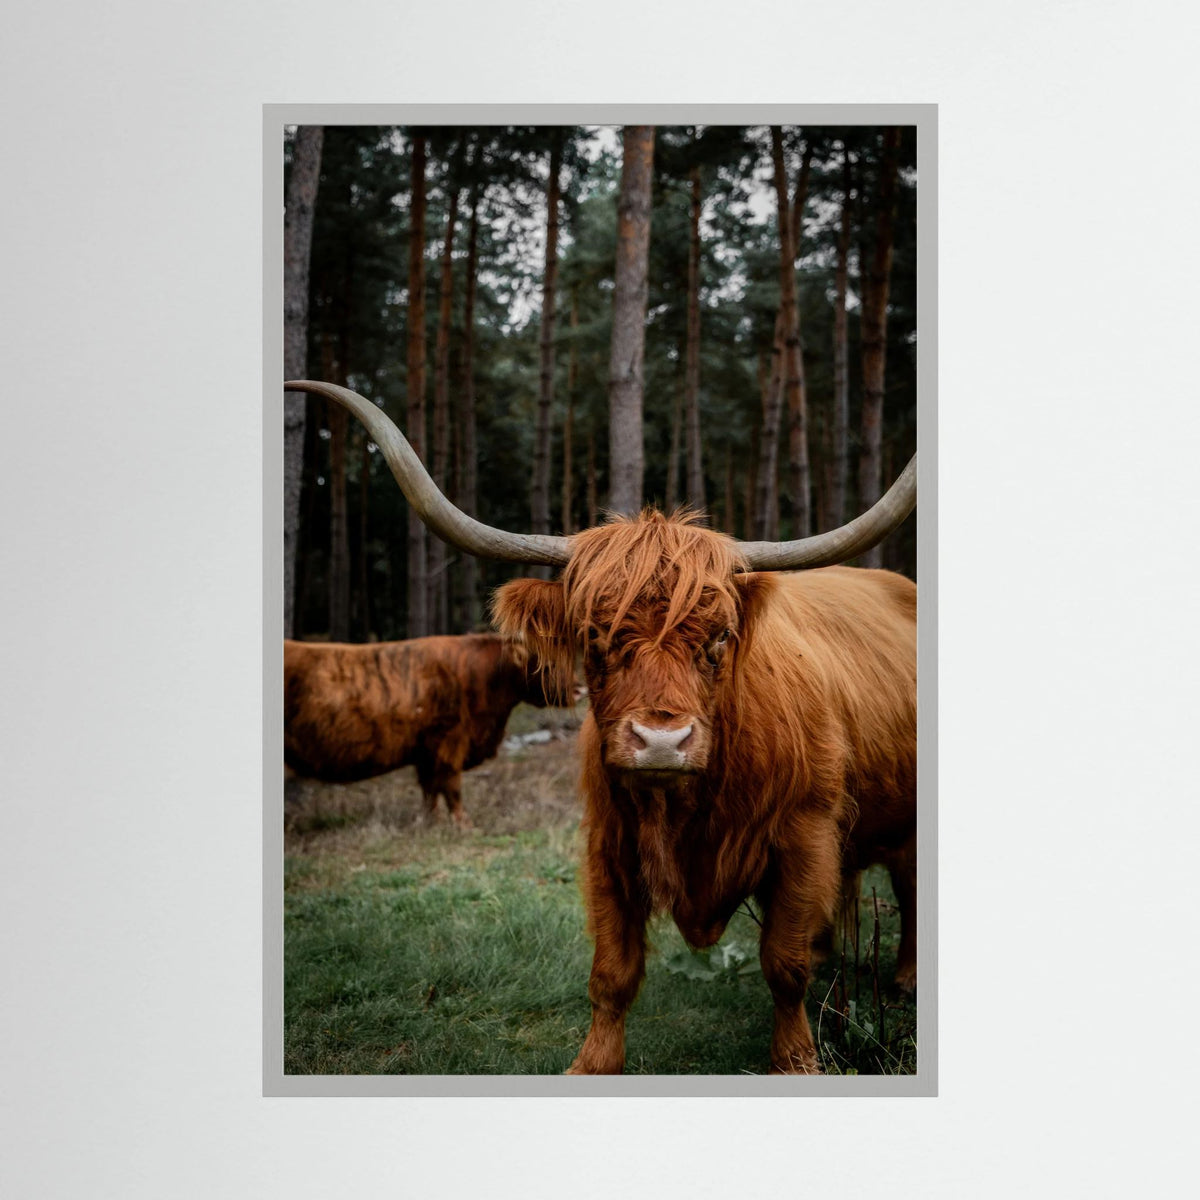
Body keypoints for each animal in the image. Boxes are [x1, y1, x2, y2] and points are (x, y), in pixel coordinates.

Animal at [284, 633, 570, 828]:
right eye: (546, 666)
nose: (577, 689)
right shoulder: (450, 743)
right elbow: (451, 788)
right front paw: (463, 824)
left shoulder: (426, 753)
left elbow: (430, 791)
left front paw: (431, 821)